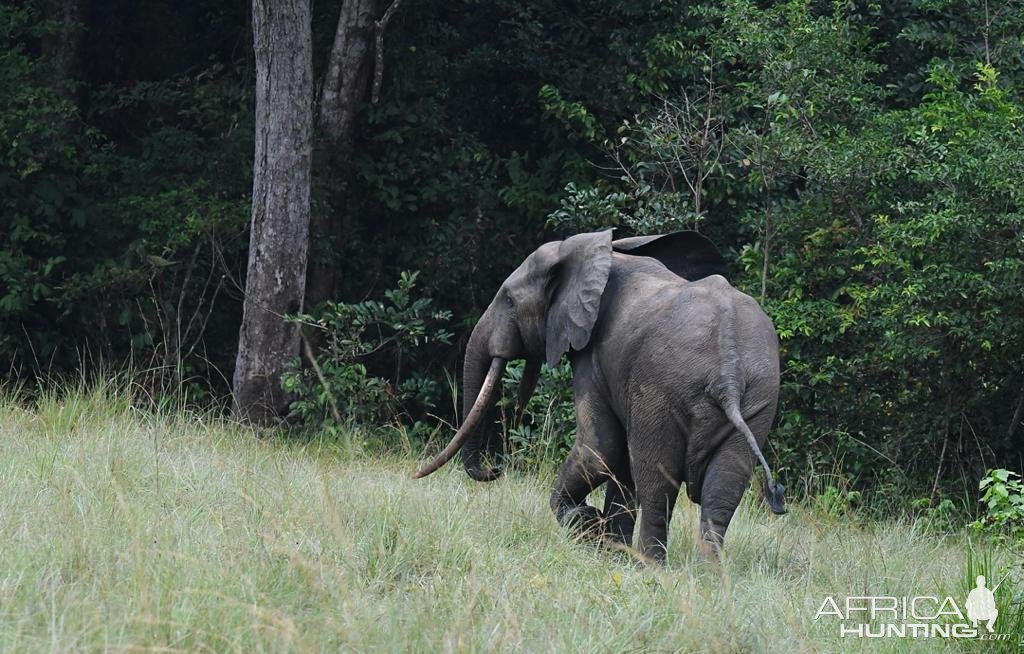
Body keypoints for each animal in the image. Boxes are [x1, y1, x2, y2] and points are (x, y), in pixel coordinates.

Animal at [413, 230, 782, 564]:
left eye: (509, 301)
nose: (496, 469)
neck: (598, 254)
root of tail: (728, 370)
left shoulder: (592, 357)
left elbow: (600, 447)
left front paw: (587, 526)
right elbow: (617, 462)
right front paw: (608, 548)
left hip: (662, 388)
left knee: (655, 484)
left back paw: (650, 566)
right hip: (759, 397)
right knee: (722, 492)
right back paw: (709, 573)